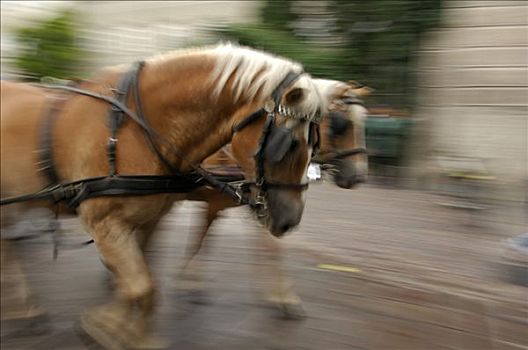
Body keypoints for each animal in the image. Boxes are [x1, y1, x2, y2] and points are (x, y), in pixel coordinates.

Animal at [2, 45, 324, 348]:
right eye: (290, 144)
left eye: (315, 144)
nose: (290, 220)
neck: (131, 131)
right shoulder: (104, 223)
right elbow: (142, 287)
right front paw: (112, 327)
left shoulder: (149, 218)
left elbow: (142, 283)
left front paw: (119, 328)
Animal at [169, 78, 372, 318]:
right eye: (343, 124)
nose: (358, 176)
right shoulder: (219, 203)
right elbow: (204, 239)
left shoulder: (253, 204)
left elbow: (263, 245)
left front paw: (279, 294)